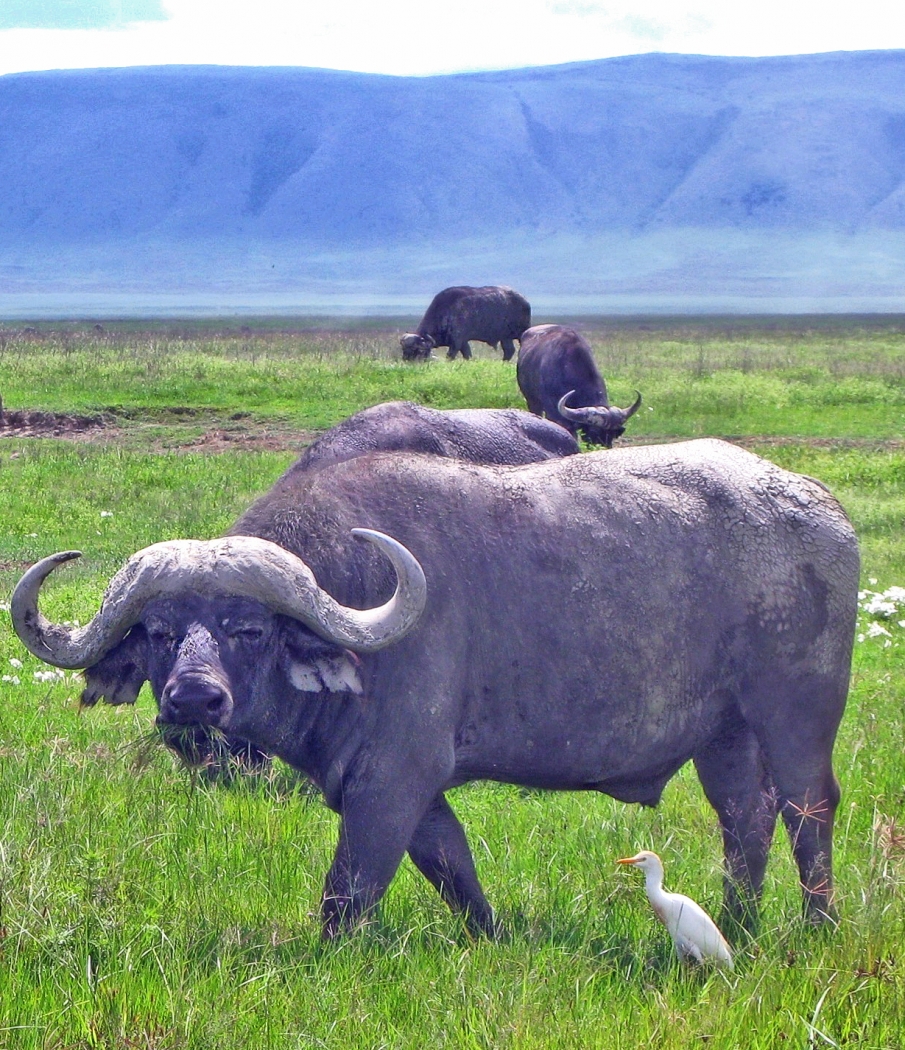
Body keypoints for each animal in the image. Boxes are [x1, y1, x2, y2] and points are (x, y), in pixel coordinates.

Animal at [15, 438, 865, 940]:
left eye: (247, 628)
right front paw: (492, 938)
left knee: (806, 809)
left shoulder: (392, 781)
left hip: (795, 713)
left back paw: (817, 928)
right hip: (724, 733)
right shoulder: (409, 794)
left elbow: (348, 891)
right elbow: (454, 872)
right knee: (743, 819)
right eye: (159, 631)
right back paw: (735, 925)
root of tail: (817, 504)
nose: (194, 699)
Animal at [403, 283, 535, 361]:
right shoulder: (464, 342)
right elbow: (467, 355)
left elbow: (450, 356)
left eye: (419, 351)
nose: (408, 361)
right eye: (404, 350)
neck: (445, 312)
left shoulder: (456, 342)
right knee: (509, 351)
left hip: (522, 332)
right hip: (505, 337)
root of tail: (524, 300)